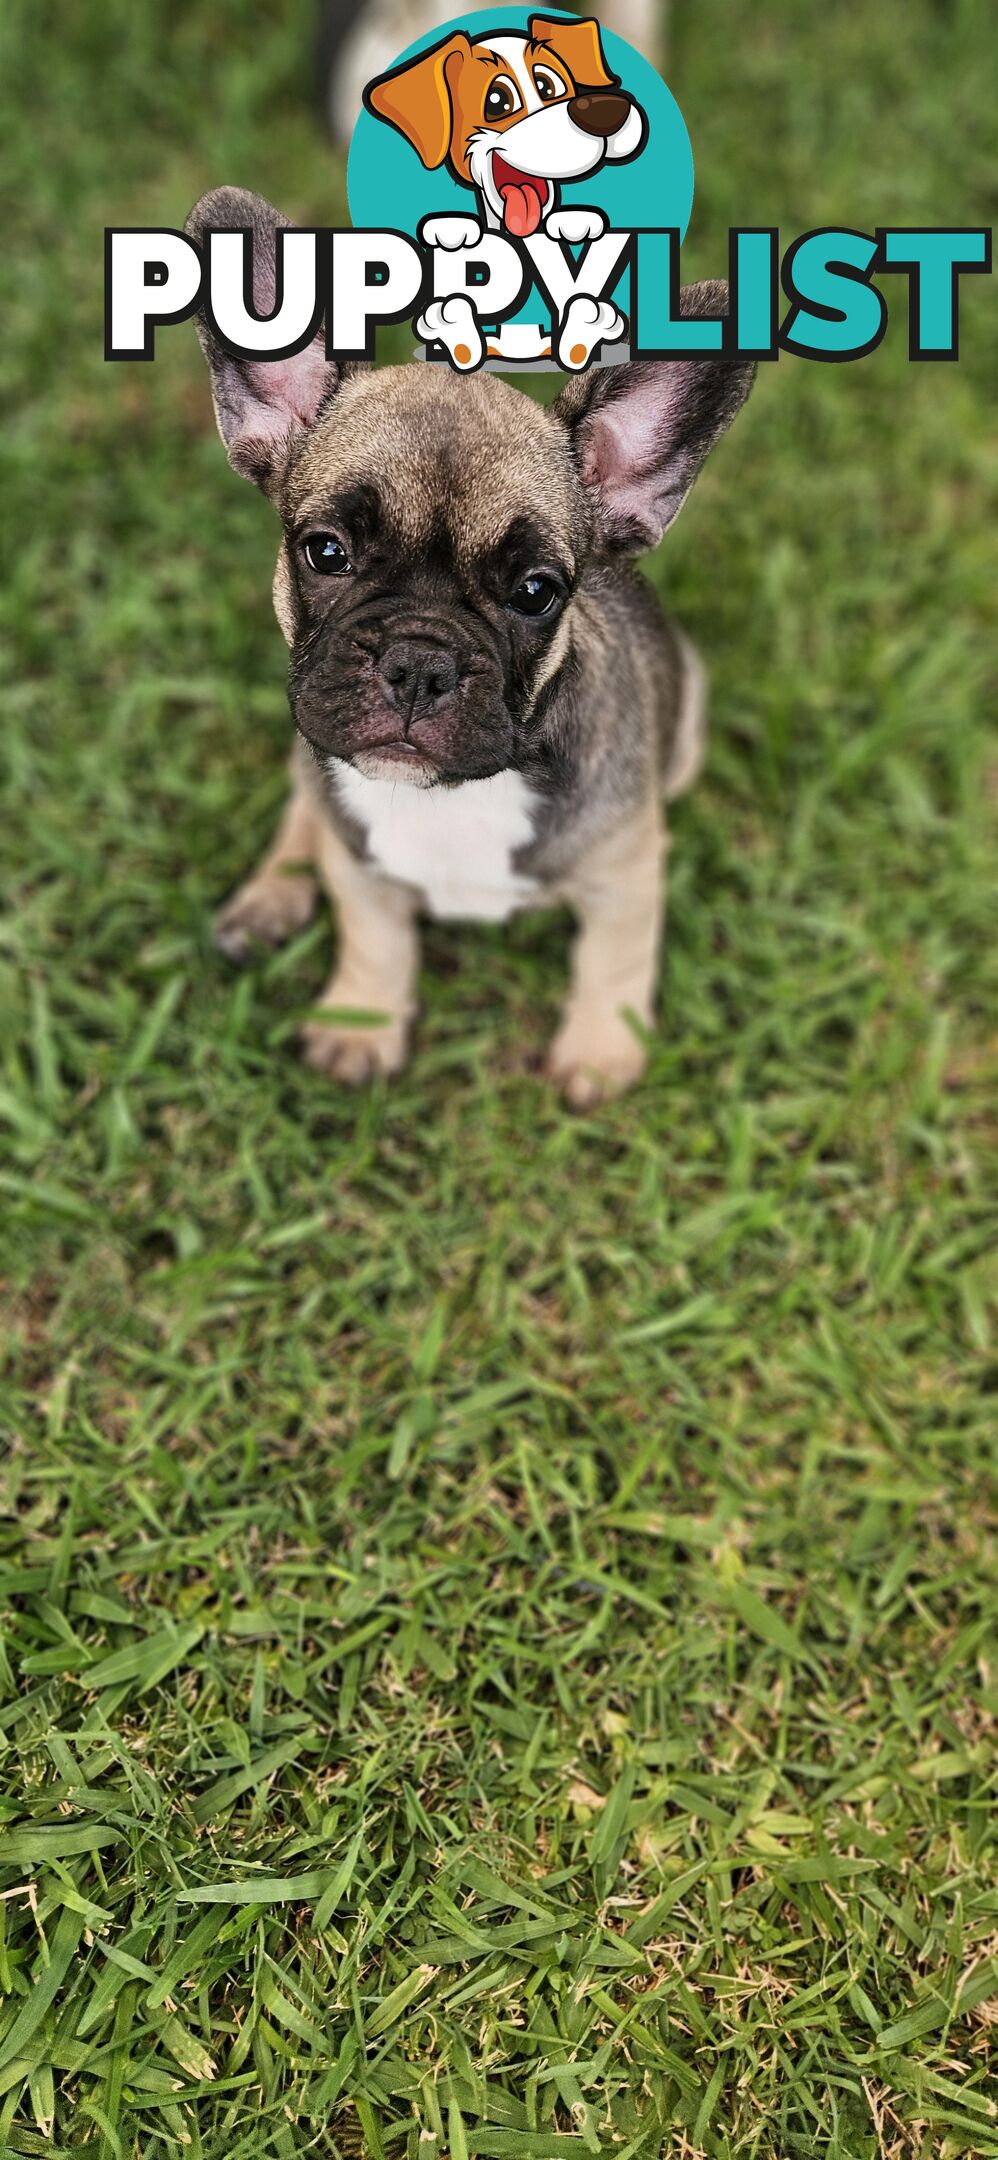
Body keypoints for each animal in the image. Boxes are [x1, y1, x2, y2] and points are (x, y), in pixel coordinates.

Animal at [186, 192, 751, 1105]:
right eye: (325, 551)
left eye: (536, 592)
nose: (420, 662)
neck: (451, 795)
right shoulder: (363, 871)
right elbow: (376, 941)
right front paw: (362, 1025)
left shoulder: (628, 873)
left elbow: (613, 961)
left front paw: (601, 1053)